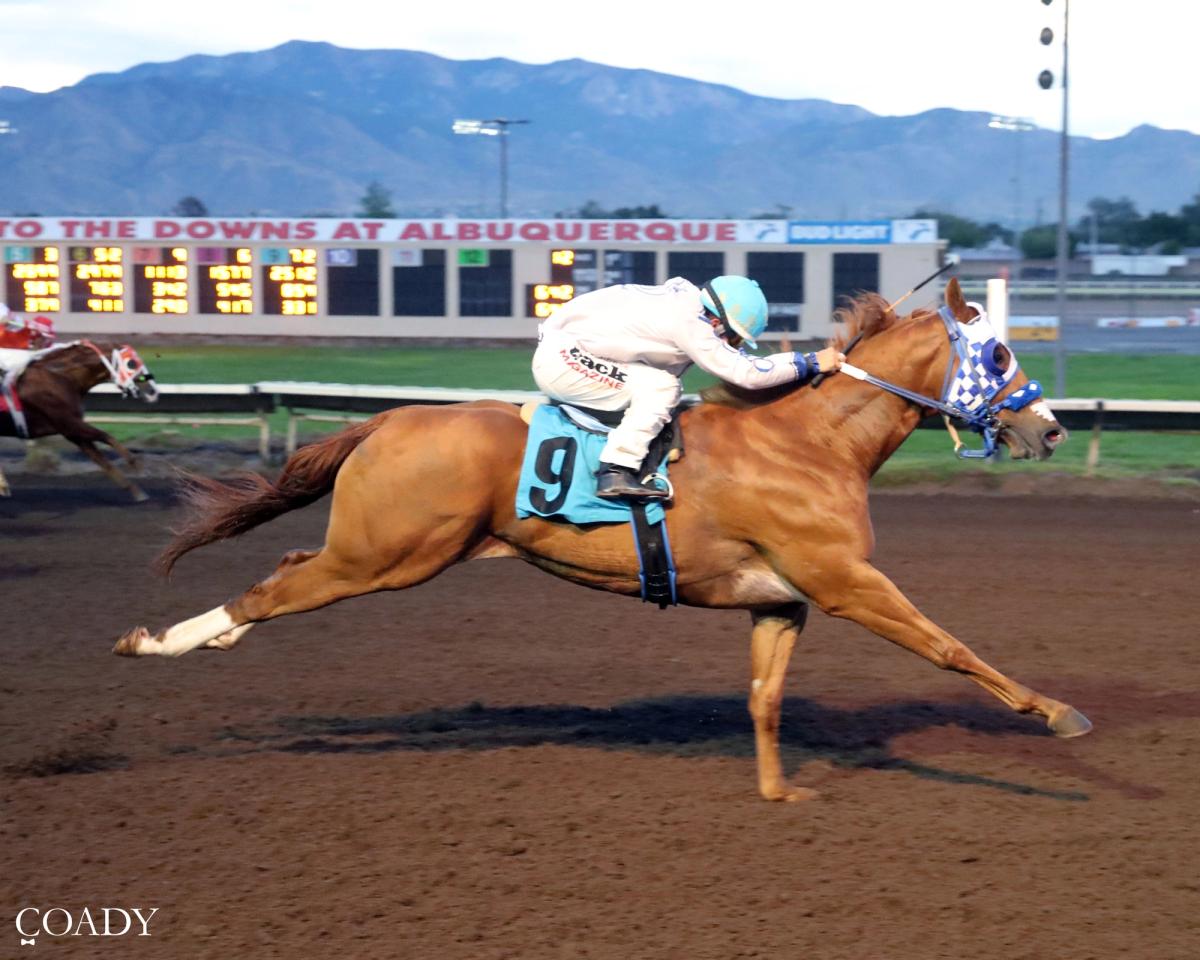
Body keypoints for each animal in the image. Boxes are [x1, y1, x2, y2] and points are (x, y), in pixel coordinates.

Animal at [0, 340, 158, 501]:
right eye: (132, 363)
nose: (153, 391)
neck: (60, 378)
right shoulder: (70, 424)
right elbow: (107, 437)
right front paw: (137, 466)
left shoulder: (73, 433)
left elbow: (103, 462)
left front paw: (136, 491)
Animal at [114, 279, 1092, 801]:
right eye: (999, 355)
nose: (1049, 429)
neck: (811, 442)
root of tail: (387, 419)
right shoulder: (848, 582)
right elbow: (950, 647)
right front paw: (1056, 713)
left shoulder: (783, 602)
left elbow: (764, 699)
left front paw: (778, 789)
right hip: (386, 556)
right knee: (270, 589)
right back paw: (158, 641)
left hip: (377, 551)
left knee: (282, 569)